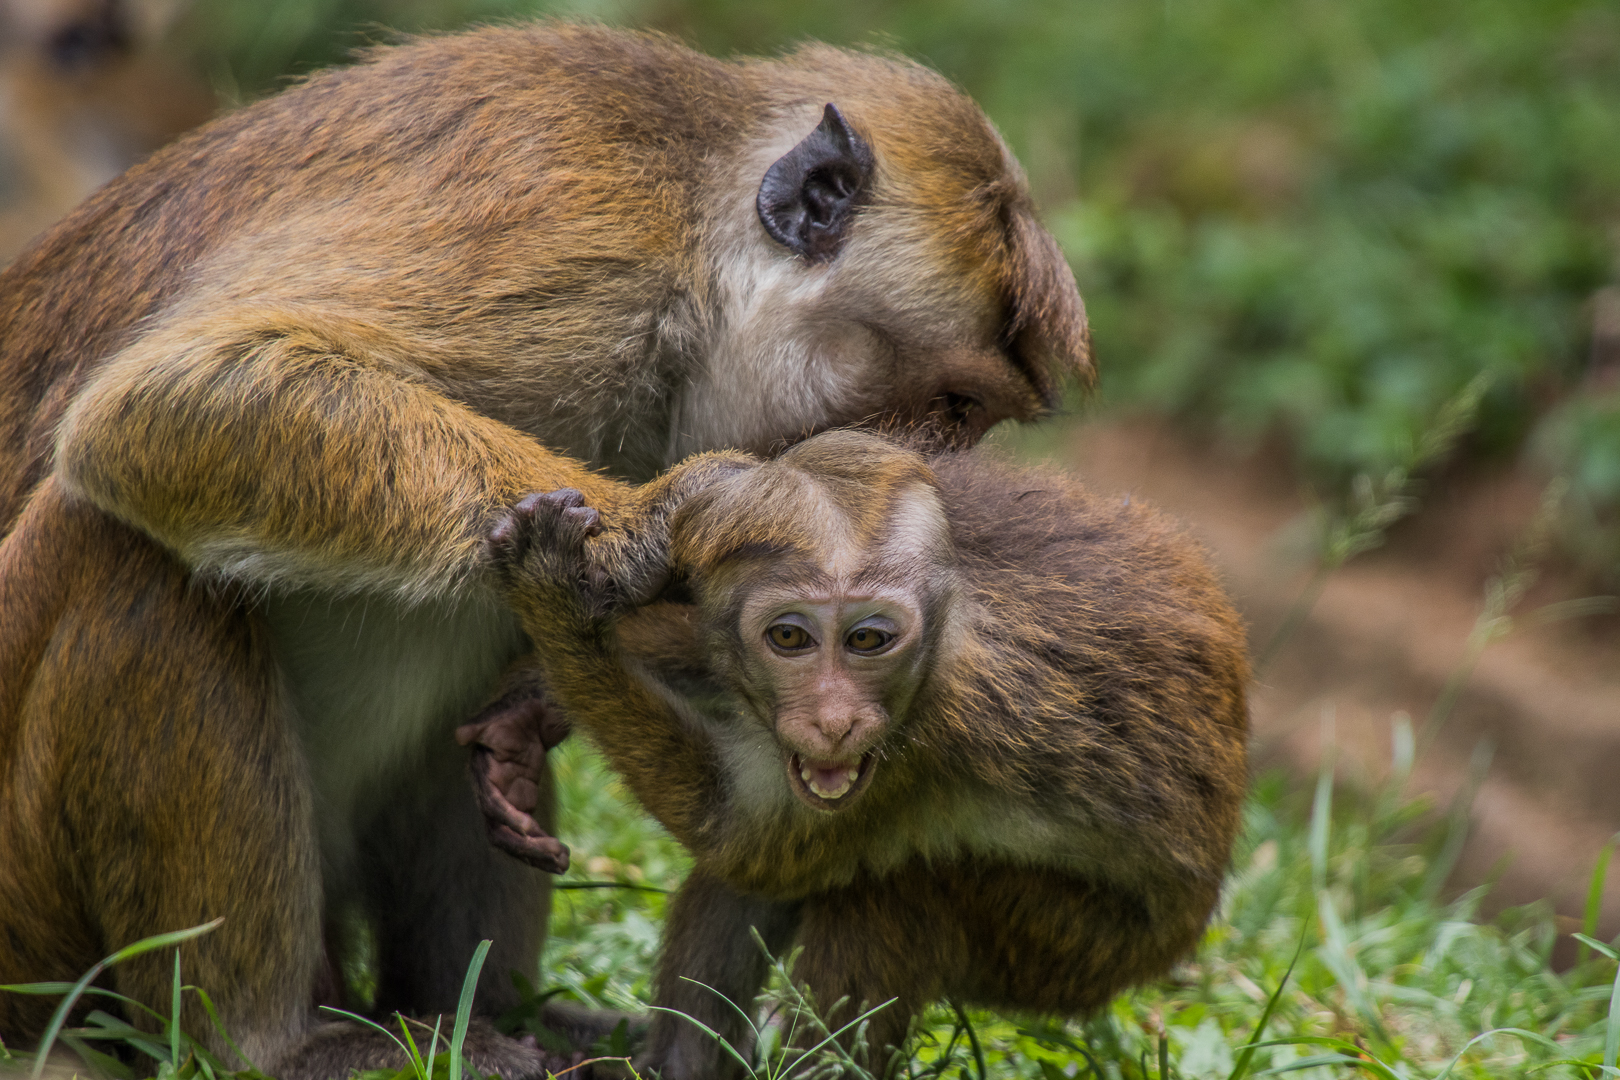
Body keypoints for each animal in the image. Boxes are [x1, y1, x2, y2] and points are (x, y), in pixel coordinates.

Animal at [0, 21, 1091, 1080]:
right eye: (951, 406)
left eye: (975, 418)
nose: (939, 491)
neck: (695, 244)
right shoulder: (569, 233)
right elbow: (177, 390)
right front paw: (655, 527)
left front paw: (546, 699)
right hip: (36, 925)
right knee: (121, 548)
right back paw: (268, 1045)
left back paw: (496, 1015)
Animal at [484, 429, 1251, 1079]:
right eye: (789, 637)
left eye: (868, 640)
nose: (834, 721)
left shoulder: (941, 732)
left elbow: (740, 838)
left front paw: (551, 599)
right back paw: (678, 1065)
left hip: (1072, 949)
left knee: (890, 899)